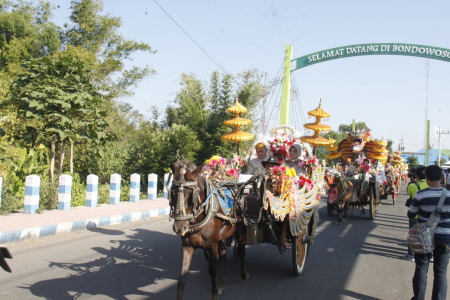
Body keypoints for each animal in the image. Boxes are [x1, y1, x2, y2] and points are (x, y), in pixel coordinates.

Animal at [169, 162, 237, 300]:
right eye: (172, 193)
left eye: (192, 195)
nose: (179, 227)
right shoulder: (187, 245)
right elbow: (182, 276)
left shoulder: (212, 244)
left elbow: (212, 271)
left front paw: (214, 293)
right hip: (221, 237)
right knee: (223, 253)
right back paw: (221, 283)